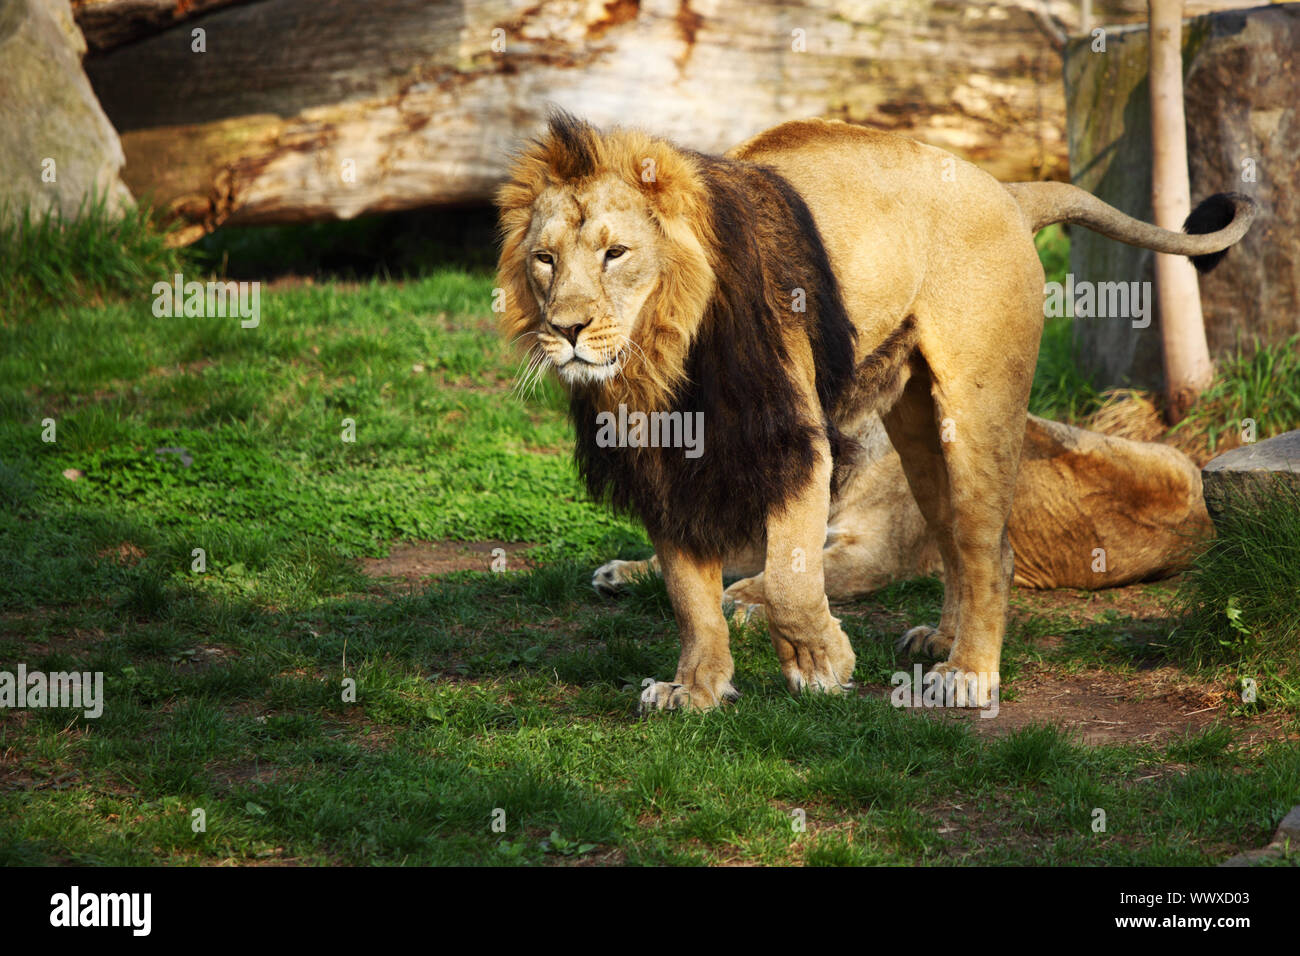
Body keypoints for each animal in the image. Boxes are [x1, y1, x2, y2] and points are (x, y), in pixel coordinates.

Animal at [496, 112, 1254, 710]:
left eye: (615, 253)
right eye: (544, 260)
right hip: (917, 424)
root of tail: (1005, 189)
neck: (661, 358)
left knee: (989, 547)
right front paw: (697, 689)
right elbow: (690, 592)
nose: (565, 329)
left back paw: (969, 674)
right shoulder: (659, 464)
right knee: (952, 538)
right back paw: (941, 640)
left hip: (980, 407)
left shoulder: (796, 444)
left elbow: (790, 577)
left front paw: (820, 666)